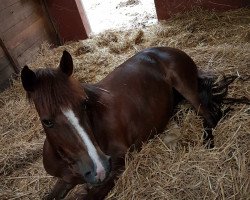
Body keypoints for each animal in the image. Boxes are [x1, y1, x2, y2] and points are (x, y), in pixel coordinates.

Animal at [20, 47, 247, 200]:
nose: (99, 168)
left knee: (210, 115)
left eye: (84, 104)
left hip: (186, 87)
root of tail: (170, 50)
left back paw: (207, 142)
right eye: (47, 121)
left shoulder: (118, 165)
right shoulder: (65, 179)